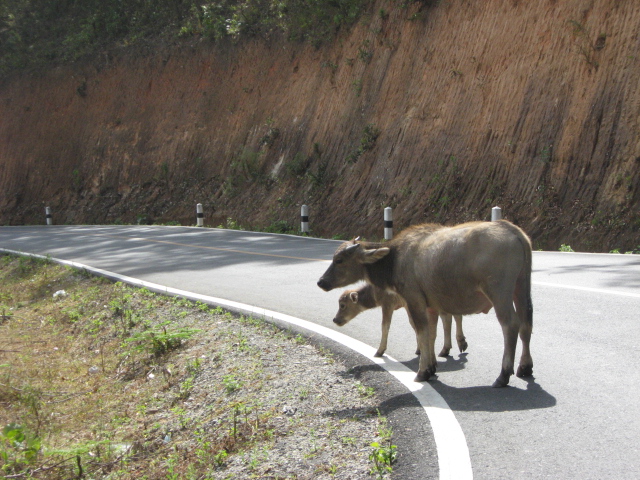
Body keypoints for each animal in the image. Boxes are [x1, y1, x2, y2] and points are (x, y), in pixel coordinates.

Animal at [333, 283, 467, 358]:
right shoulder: (405, 305)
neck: (376, 294)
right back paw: (446, 349)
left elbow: (385, 326)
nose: (335, 319)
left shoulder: (388, 304)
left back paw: (460, 344)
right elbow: (413, 325)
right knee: (448, 318)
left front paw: (379, 351)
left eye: (342, 305)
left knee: (456, 316)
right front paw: (419, 349)